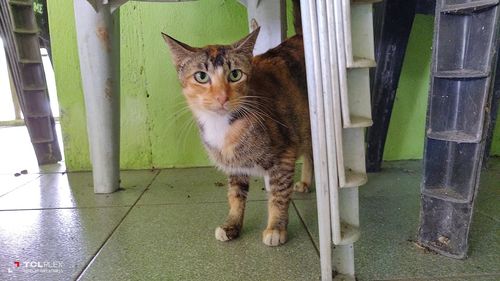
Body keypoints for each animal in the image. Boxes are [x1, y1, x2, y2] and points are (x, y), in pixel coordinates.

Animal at [162, 1, 310, 245]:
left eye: (235, 74)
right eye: (201, 76)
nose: (222, 96)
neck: (223, 125)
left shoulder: (284, 154)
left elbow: (278, 194)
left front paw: (276, 228)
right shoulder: (234, 165)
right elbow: (235, 195)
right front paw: (231, 225)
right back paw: (307, 182)